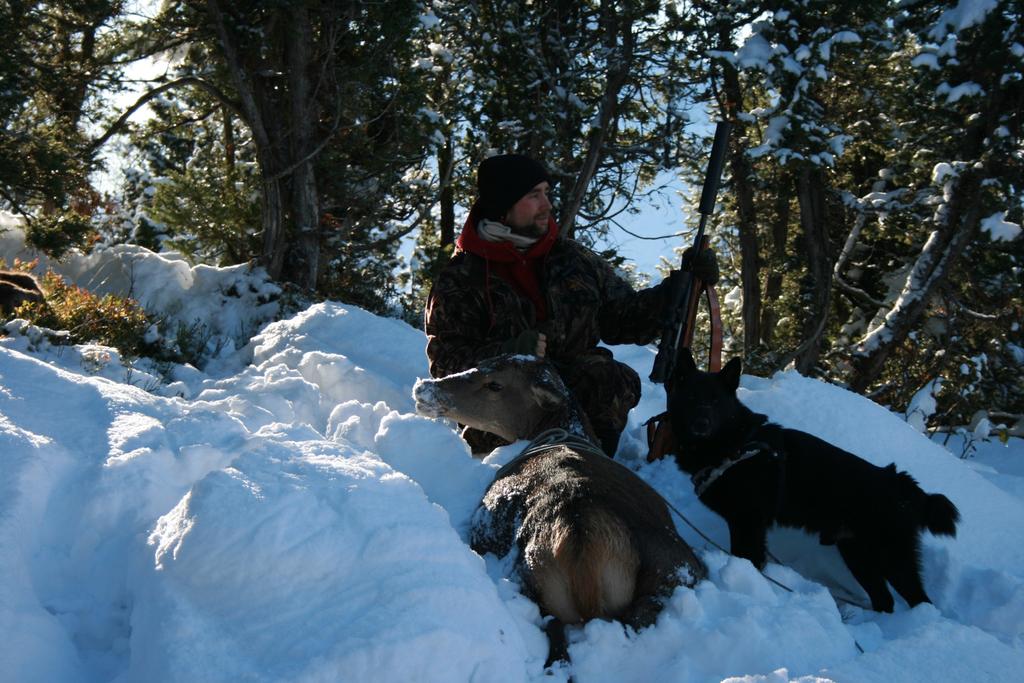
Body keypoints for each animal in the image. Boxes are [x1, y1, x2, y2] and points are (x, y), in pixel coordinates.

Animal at [411, 356, 708, 663]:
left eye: (495, 384)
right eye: (480, 362)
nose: (425, 388)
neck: (566, 431)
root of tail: (581, 527)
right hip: (675, 570)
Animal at [663, 350, 958, 610]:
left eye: (715, 401)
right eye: (691, 397)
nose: (701, 424)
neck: (737, 444)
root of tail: (901, 482)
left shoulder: (748, 523)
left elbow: (748, 559)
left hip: (890, 557)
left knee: (920, 600)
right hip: (857, 554)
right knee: (884, 600)